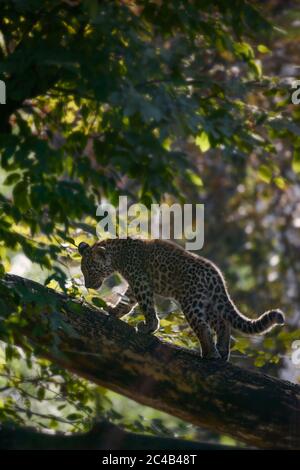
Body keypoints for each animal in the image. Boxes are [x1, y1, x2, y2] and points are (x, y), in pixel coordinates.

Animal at [78, 239, 284, 360]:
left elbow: (146, 306)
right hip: (208, 302)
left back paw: (210, 354)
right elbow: (127, 302)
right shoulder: (135, 283)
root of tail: (216, 275)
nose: (88, 285)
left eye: (89, 270)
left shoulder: (140, 280)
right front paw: (113, 311)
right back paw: (222, 351)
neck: (118, 254)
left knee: (203, 326)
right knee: (222, 323)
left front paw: (149, 327)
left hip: (191, 301)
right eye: (83, 270)